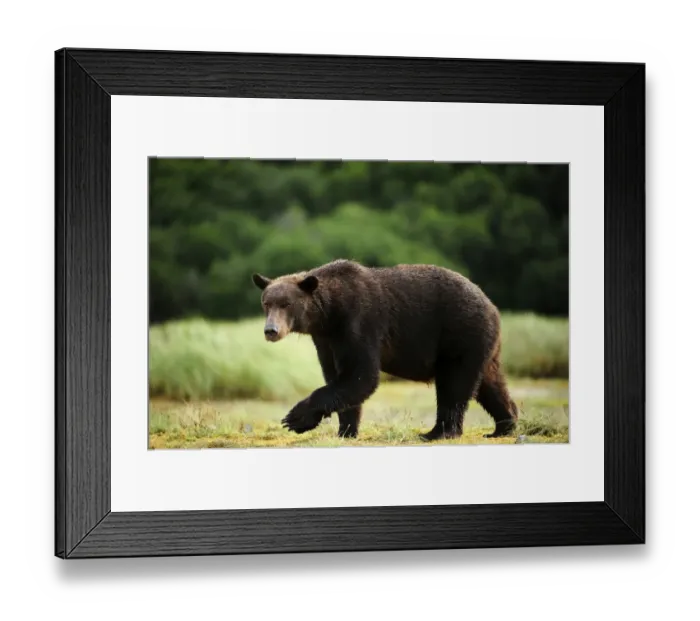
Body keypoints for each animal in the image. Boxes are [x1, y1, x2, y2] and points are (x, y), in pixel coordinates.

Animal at [252, 259, 518, 441]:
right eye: (266, 303)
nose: (271, 330)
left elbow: (361, 376)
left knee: (454, 384)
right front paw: (346, 430)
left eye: (286, 304)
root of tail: (491, 304)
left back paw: (437, 432)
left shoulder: (359, 324)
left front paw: (295, 418)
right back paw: (503, 425)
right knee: (490, 382)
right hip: (483, 345)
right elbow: (338, 377)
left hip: (459, 332)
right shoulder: (326, 340)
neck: (330, 314)